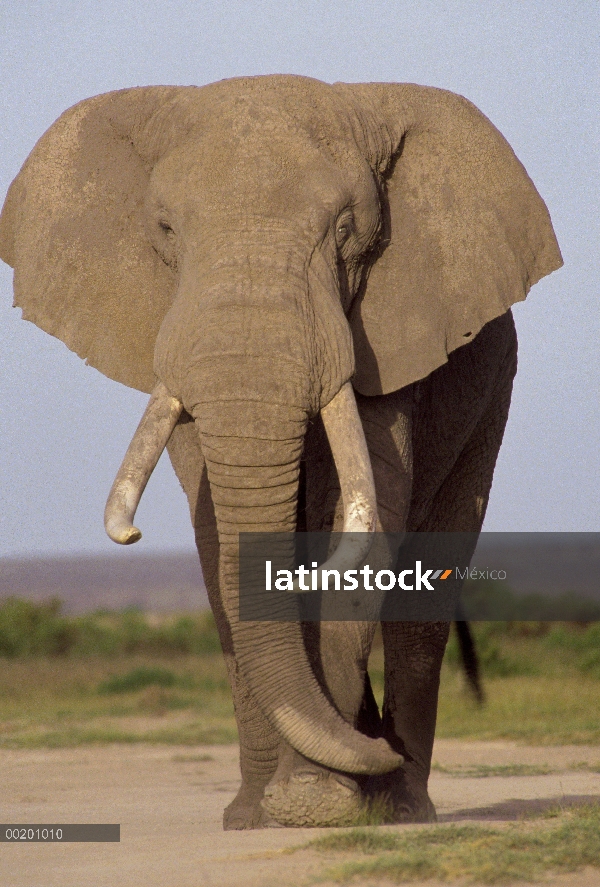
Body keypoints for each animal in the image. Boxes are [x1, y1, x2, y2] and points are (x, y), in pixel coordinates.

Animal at [1, 73, 564, 828]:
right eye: (165, 230)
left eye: (348, 230)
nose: (376, 750)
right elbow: (220, 544)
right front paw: (256, 814)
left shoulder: (389, 337)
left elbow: (363, 527)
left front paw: (314, 803)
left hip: (494, 386)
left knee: (427, 591)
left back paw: (402, 804)